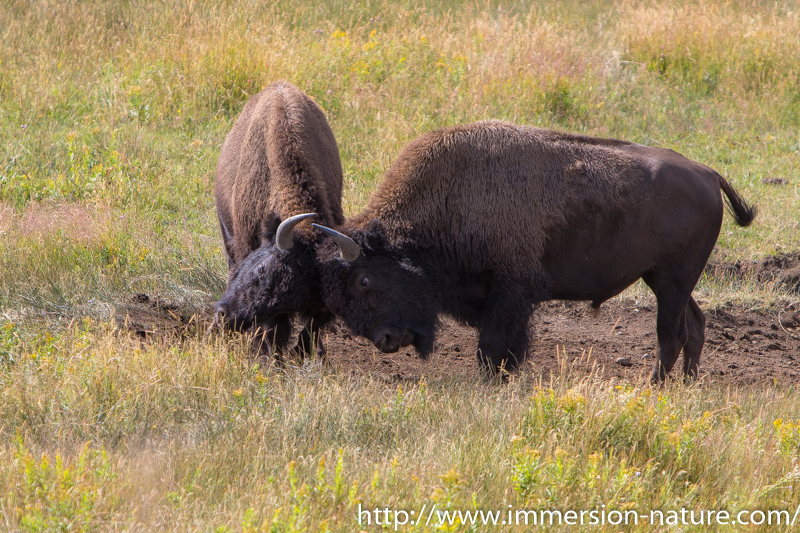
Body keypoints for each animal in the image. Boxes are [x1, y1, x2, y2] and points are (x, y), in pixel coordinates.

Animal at [236, 121, 756, 381]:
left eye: (364, 279)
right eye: (336, 297)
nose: (387, 340)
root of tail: (707, 174)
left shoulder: (510, 294)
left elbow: (493, 347)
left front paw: (491, 381)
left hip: (671, 279)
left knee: (670, 335)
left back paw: (655, 388)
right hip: (666, 279)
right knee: (695, 326)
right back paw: (685, 385)